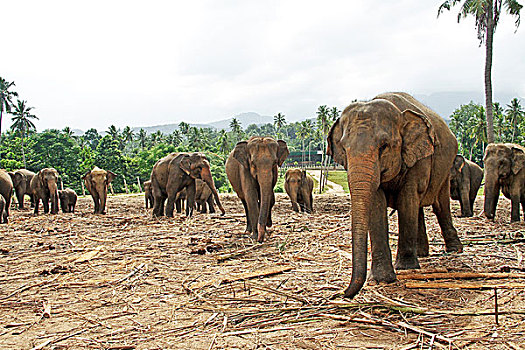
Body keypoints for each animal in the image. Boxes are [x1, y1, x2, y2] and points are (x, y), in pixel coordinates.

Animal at [328, 92, 462, 298]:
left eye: (383, 146)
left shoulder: (419, 158)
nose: (341, 294)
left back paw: (454, 250)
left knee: (440, 205)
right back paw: (421, 253)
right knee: (419, 208)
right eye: (344, 148)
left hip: (446, 168)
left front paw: (405, 267)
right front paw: (382, 279)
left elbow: (407, 199)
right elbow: (377, 204)